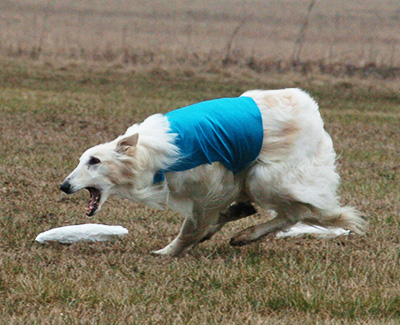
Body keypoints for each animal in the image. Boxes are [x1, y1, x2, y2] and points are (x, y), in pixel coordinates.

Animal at [60, 88, 366, 256]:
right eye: (82, 160)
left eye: (94, 161)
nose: (64, 185)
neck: (149, 153)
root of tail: (312, 111)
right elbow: (210, 220)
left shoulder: (213, 183)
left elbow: (192, 227)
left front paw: (168, 251)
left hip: (266, 177)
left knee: (295, 212)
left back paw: (247, 234)